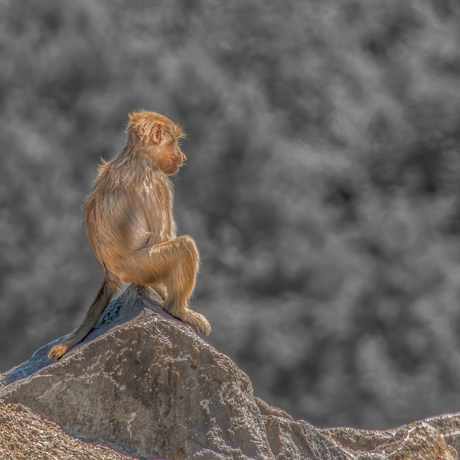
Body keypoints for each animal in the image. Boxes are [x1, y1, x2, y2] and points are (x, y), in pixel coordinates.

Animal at [48, 110, 210, 360]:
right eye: (175, 143)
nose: (183, 157)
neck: (135, 155)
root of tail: (111, 270)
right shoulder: (157, 181)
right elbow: (161, 236)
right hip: (142, 267)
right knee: (184, 247)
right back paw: (177, 309)